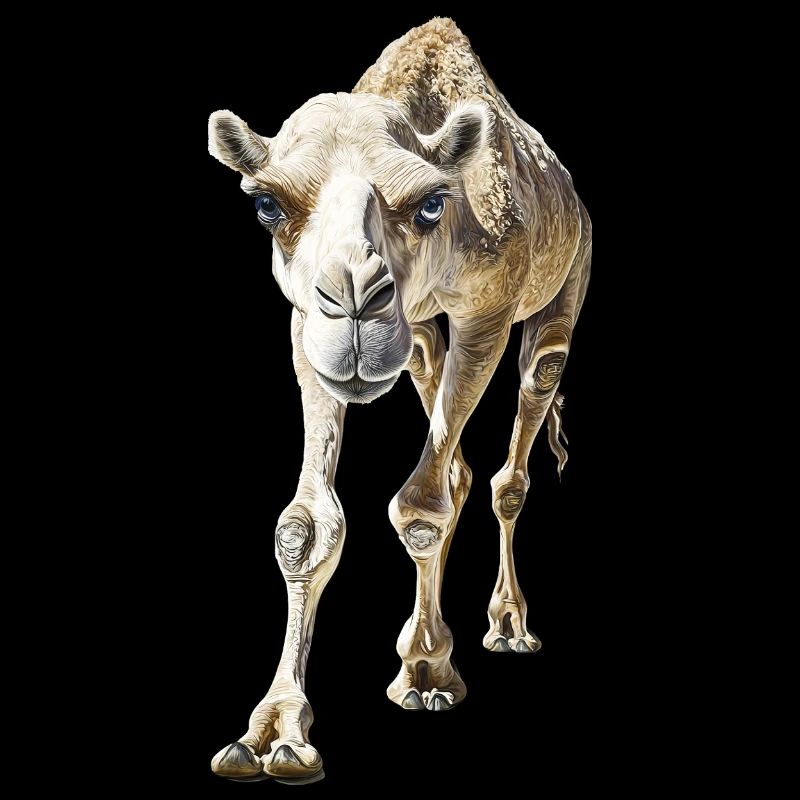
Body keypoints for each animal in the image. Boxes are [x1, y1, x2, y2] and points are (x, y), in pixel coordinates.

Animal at [207, 18, 591, 783]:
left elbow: (420, 506)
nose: (355, 299)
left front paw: (428, 674)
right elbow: (305, 526)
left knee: (522, 426)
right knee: (458, 459)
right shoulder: (305, 325)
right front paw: (272, 732)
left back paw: (507, 627)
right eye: (268, 206)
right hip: (414, 336)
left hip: (566, 282)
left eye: (430, 203)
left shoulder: (486, 313)